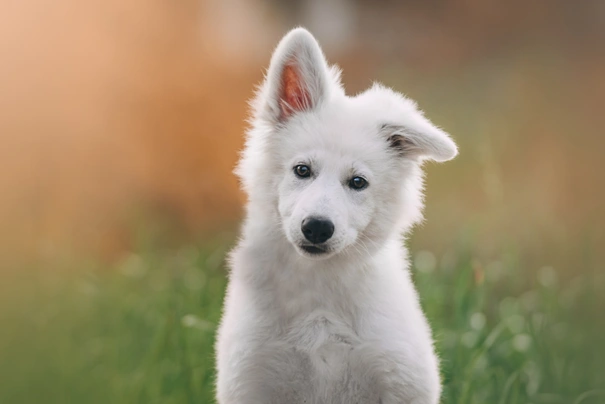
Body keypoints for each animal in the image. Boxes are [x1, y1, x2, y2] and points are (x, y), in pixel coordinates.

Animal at [215, 28, 456, 404]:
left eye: (358, 182)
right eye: (302, 170)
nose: (316, 228)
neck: (319, 292)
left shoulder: (400, 380)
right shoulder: (251, 380)